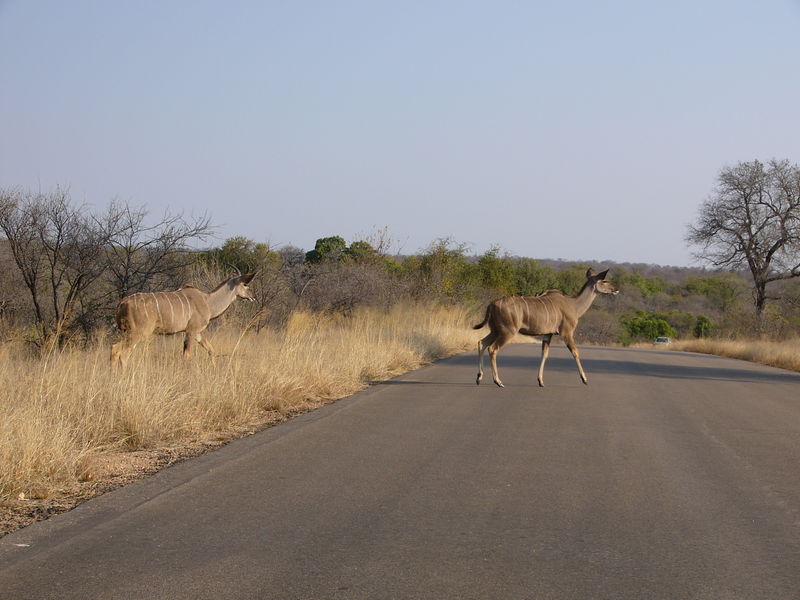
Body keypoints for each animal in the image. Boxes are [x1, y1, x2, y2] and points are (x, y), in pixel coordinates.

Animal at [110, 270, 256, 366]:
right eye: (245, 284)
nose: (253, 297)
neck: (207, 301)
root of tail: (122, 302)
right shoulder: (191, 331)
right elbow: (186, 355)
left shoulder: (197, 333)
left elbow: (211, 350)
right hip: (138, 333)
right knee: (123, 353)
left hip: (126, 333)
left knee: (114, 348)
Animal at [476, 268, 620, 390]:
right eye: (604, 280)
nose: (616, 289)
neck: (574, 305)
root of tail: (492, 304)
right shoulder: (567, 333)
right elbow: (575, 352)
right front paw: (584, 379)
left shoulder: (548, 334)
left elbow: (544, 354)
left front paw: (541, 381)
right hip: (507, 332)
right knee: (492, 348)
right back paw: (498, 381)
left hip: (495, 330)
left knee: (481, 343)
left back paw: (479, 378)